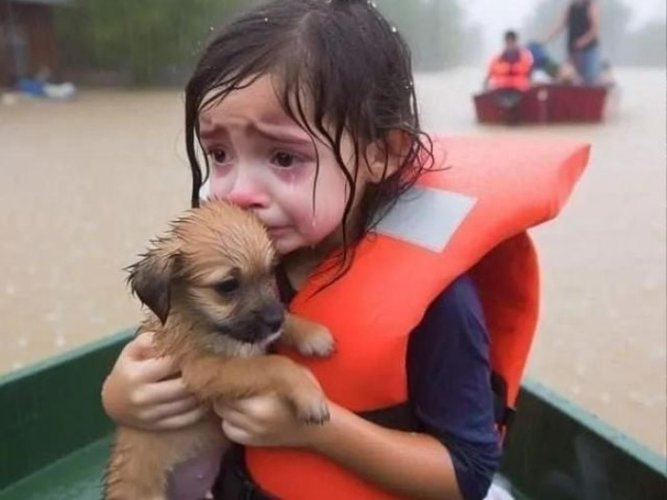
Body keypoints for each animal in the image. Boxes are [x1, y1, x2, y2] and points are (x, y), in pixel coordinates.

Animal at [105, 200, 334, 500]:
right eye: (227, 286)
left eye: (271, 271)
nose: (275, 321)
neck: (202, 321)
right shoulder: (203, 370)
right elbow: (272, 365)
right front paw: (309, 394)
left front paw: (312, 334)